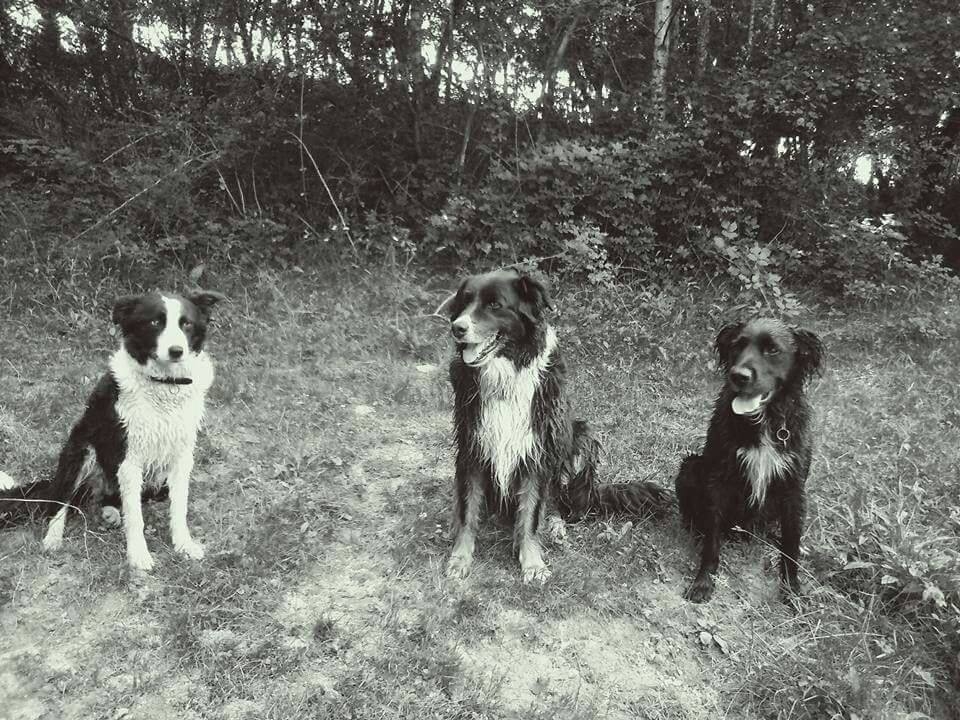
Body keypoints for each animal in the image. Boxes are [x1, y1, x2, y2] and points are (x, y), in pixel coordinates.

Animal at [0, 289, 225, 571]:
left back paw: (110, 514)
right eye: (155, 322)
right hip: (80, 452)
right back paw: (53, 539)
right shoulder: (128, 457)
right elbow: (136, 517)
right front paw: (139, 556)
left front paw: (184, 545)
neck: (164, 385)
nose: (176, 351)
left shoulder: (182, 457)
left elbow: (179, 508)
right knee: (59, 503)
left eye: (187, 324)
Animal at [441, 268, 668, 582]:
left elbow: (530, 515)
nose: (457, 328)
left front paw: (532, 563)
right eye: (464, 302)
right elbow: (468, 510)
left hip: (581, 437)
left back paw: (556, 523)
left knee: (563, 506)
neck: (505, 374)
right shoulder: (472, 446)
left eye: (495, 305)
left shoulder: (536, 451)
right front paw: (459, 558)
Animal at [675, 317, 823, 602]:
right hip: (689, 468)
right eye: (738, 345)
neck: (764, 421)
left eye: (772, 350)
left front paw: (792, 589)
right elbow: (712, 541)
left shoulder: (794, 487)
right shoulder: (718, 479)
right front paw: (703, 582)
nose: (738, 376)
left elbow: (791, 545)